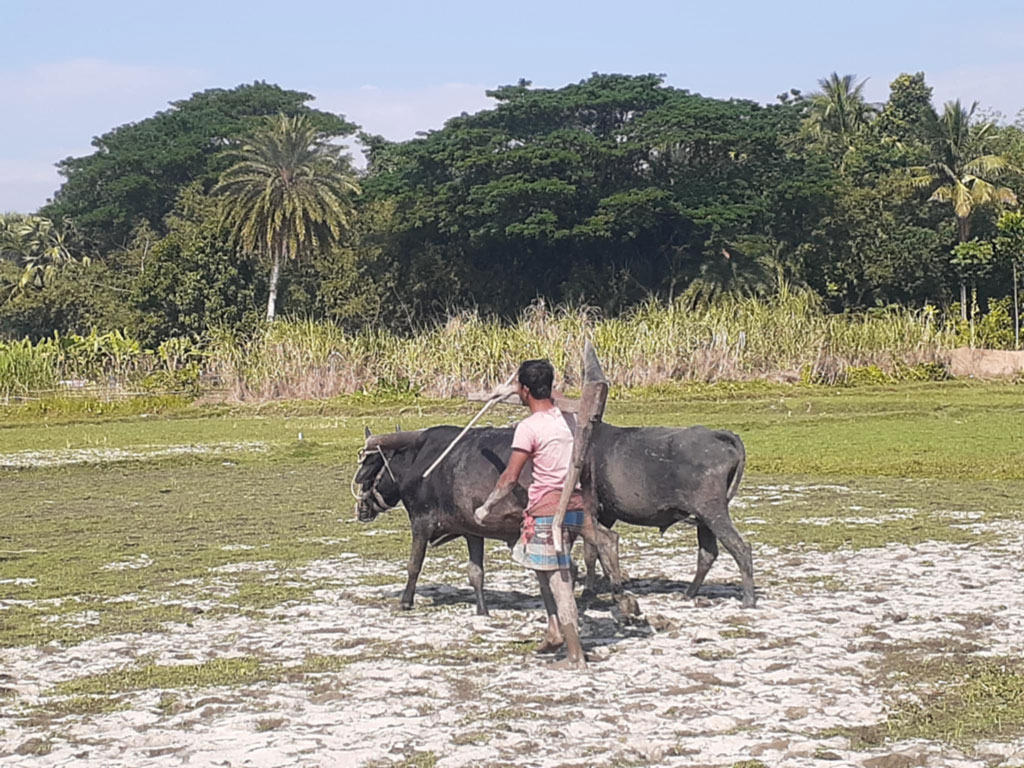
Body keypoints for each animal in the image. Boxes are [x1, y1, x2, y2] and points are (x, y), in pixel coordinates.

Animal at [356, 421, 757, 614]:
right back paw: (682, 594)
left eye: (368, 465)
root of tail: (720, 435)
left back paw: (747, 598)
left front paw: (405, 600)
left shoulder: (421, 522)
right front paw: (482, 609)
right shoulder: (473, 530)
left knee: (740, 548)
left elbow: (413, 565)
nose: (360, 504)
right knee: (706, 553)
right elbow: (476, 573)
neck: (424, 461)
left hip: (711, 511)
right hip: (703, 518)